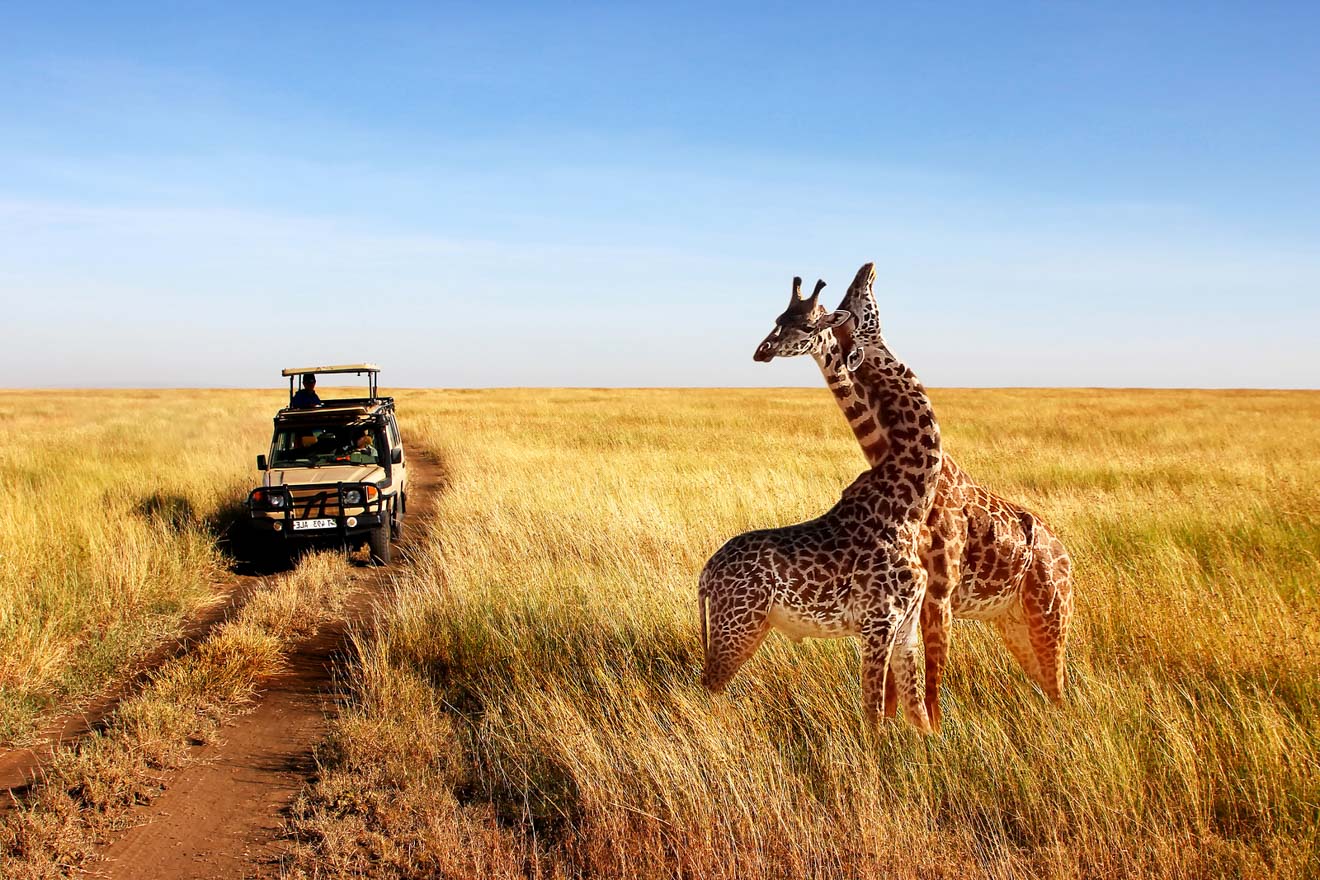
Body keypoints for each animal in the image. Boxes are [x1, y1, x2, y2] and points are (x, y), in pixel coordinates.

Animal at [696, 273, 945, 728]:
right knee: (708, 686)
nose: (763, 350)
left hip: (745, 626)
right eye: (779, 320)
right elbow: (873, 714)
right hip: (738, 625)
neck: (909, 504)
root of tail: (706, 574)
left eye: (808, 323)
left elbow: (918, 715)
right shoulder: (877, 623)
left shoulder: (906, 627)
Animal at [755, 263, 1071, 728]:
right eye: (779, 318)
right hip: (1013, 621)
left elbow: (928, 681)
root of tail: (1065, 554)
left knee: (1058, 685)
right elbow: (897, 683)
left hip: (1049, 613)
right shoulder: (907, 598)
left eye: (811, 321)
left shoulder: (937, 593)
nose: (762, 351)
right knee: (1048, 685)